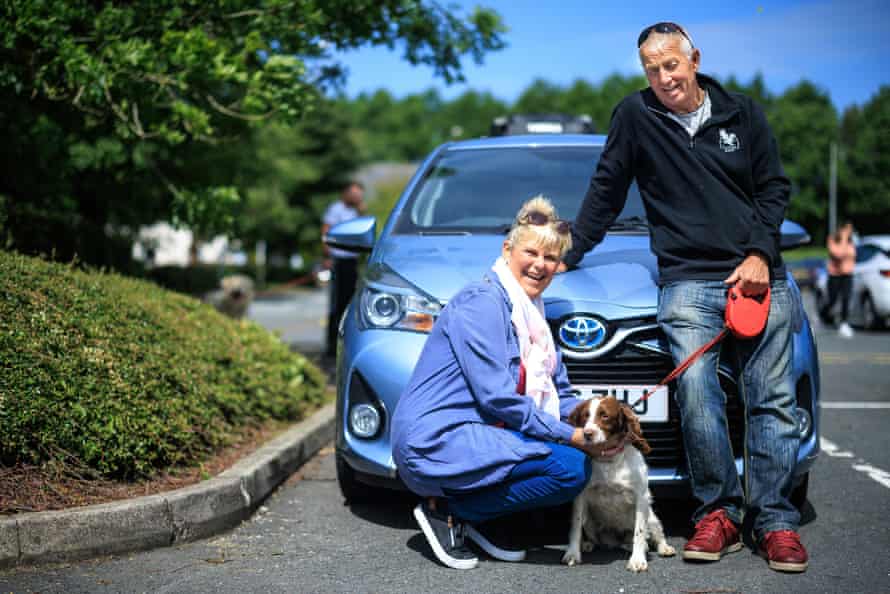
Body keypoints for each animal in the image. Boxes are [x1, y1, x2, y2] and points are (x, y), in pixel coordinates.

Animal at [560, 396, 672, 572]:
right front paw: (572, 553)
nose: (587, 434)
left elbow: (639, 532)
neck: (609, 460)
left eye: (605, 416)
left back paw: (663, 548)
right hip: (589, 519)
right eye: (585, 415)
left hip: (651, 517)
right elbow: (575, 526)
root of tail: (618, 540)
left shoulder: (642, 497)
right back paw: (588, 544)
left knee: (655, 534)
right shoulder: (581, 497)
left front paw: (637, 560)